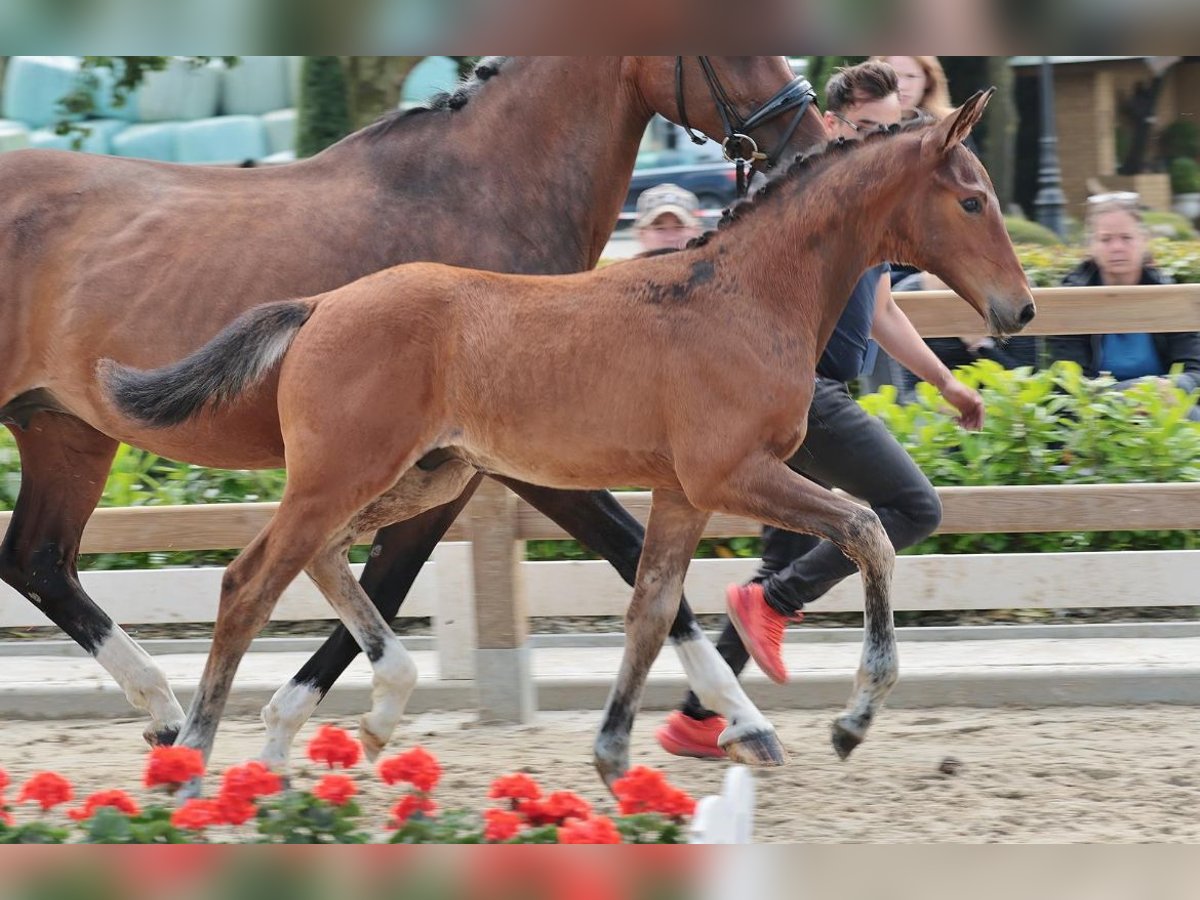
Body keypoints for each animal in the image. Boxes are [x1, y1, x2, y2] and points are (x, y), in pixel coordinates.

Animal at [0, 60, 825, 753]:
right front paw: (744, 721)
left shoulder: (448, 465)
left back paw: (166, 713)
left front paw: (312, 717)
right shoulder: (518, 460)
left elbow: (386, 581)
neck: (479, 194)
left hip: (64, 429)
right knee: (40, 561)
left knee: (38, 560)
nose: (812, 140)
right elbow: (637, 565)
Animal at [105, 88, 1041, 787]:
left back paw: (337, 724)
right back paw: (192, 762)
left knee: (325, 557)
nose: (1020, 309)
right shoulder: (734, 474)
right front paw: (852, 718)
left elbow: (651, 608)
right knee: (248, 582)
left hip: (424, 475)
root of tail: (320, 304)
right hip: (345, 472)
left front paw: (615, 753)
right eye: (971, 199)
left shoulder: (681, 491)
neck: (743, 292)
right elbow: (867, 530)